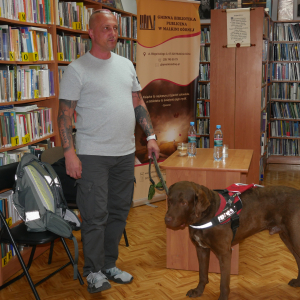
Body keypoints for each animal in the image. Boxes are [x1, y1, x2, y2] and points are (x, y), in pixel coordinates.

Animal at [165, 182, 300, 298]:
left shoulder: (224, 253)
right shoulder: (201, 249)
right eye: (169, 201)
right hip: (287, 238)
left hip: (295, 239)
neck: (205, 216)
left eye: (183, 203)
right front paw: (198, 291)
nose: (167, 219)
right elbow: (202, 274)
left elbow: (224, 283)